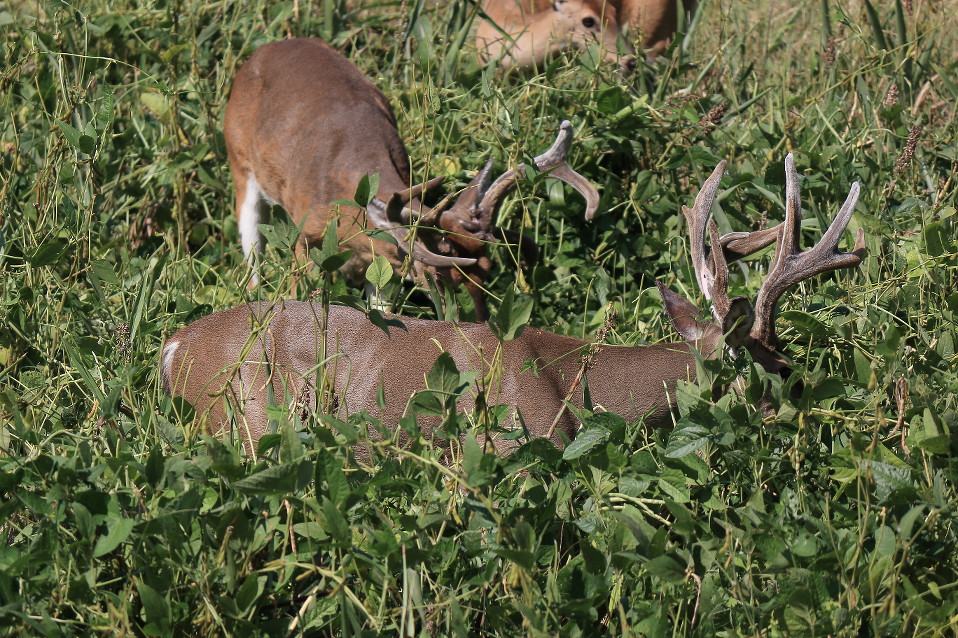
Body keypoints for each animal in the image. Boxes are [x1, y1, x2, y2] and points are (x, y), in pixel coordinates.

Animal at [162, 154, 866, 455]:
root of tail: (173, 349)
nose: (815, 411)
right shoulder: (517, 449)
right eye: (782, 370)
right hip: (250, 416)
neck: (578, 387)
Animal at [224, 38, 600, 321]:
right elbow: (299, 290)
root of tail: (261, 51)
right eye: (440, 279)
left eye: (489, 268)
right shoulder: (304, 233)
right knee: (252, 249)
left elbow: (379, 310)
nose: (481, 325)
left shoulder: (378, 260)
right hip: (238, 159)